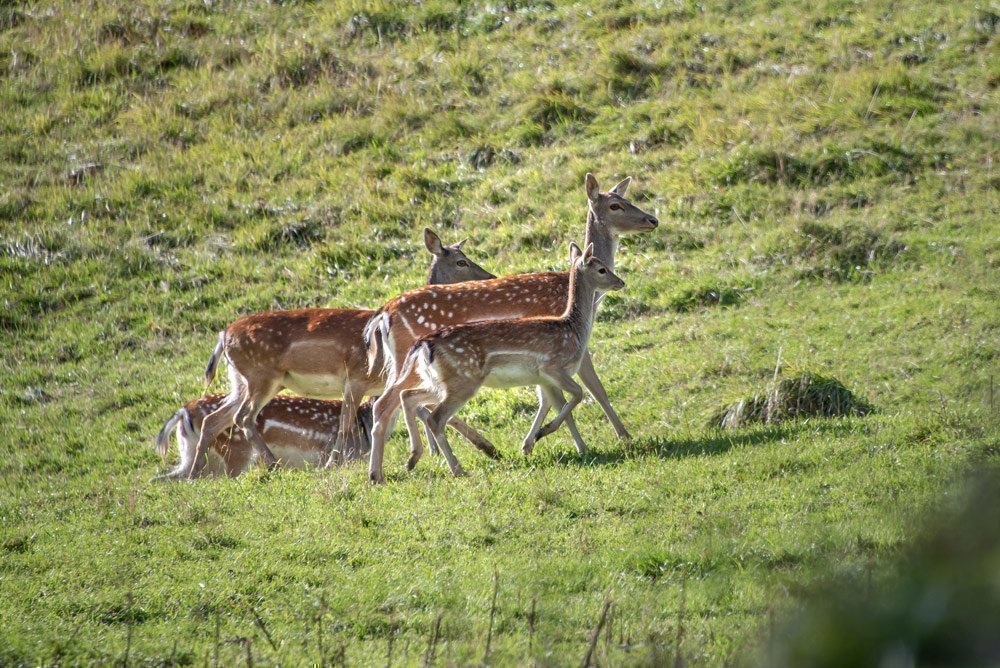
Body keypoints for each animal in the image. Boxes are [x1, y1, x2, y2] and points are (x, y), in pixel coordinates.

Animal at [186, 227, 494, 478]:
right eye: (461, 261)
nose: (490, 276)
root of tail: (223, 335)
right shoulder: (356, 376)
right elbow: (352, 423)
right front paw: (334, 462)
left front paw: (487, 448)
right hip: (261, 377)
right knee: (243, 417)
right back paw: (271, 463)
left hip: (241, 380)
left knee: (215, 420)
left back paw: (193, 473)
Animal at [390, 243, 624, 478]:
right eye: (602, 269)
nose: (621, 282)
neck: (573, 329)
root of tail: (423, 345)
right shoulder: (552, 366)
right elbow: (577, 394)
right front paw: (547, 434)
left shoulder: (544, 377)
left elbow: (553, 401)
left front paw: (532, 443)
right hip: (462, 380)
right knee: (434, 418)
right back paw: (457, 469)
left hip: (440, 382)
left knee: (408, 396)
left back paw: (413, 458)